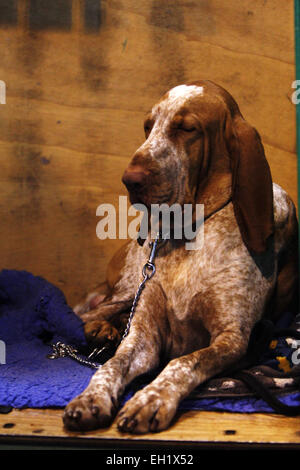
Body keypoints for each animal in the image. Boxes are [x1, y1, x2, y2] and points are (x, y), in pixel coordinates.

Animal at [63, 80, 298, 434]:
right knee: (89, 313)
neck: (190, 234)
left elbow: (182, 362)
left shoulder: (232, 340)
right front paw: (91, 398)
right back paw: (101, 329)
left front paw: (151, 398)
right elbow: (113, 364)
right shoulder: (144, 336)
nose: (129, 180)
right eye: (148, 127)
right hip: (128, 289)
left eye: (187, 128)